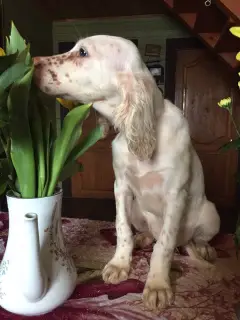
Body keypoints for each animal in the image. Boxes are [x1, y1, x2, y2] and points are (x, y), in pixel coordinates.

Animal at [32, 35, 220, 312]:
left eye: (83, 52)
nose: (34, 62)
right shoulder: (120, 187)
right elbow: (122, 229)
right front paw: (120, 264)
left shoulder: (175, 194)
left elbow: (165, 245)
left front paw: (157, 285)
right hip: (137, 210)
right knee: (149, 234)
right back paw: (143, 238)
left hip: (210, 213)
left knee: (190, 239)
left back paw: (204, 248)